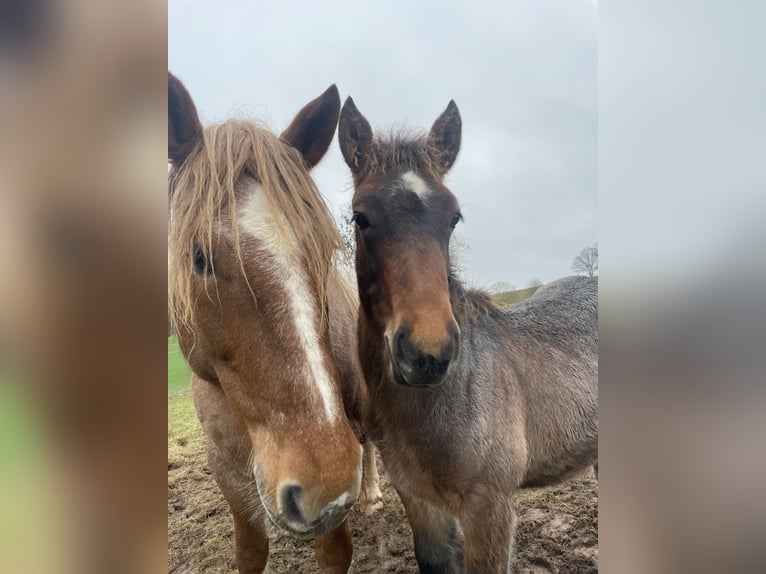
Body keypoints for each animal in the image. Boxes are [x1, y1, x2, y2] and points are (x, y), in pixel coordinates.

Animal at [167, 73, 382, 574]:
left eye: (323, 250)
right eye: (199, 257)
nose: (326, 481)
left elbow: (334, 551)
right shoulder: (228, 473)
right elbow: (251, 551)